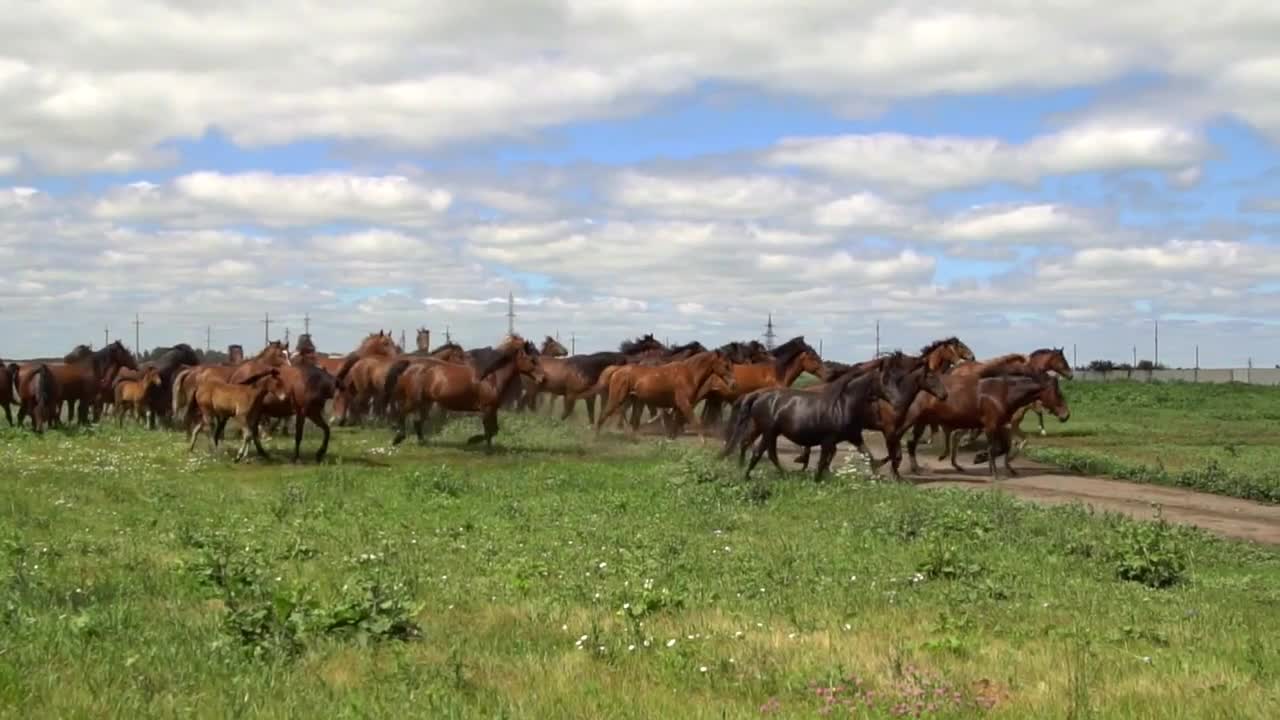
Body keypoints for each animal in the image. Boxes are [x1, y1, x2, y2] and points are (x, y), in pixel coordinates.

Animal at [378, 338, 540, 448]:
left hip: (426, 403)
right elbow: (489, 430)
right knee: (402, 413)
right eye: (532, 359)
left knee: (417, 422)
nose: (541, 378)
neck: (491, 377)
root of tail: (411, 364)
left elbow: (493, 430)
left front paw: (481, 444)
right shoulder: (487, 408)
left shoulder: (492, 408)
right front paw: (475, 442)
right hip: (414, 400)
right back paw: (398, 438)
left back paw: (422, 442)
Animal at [596, 348, 737, 438]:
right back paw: (596, 437)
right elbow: (694, 421)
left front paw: (670, 437)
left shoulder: (679, 406)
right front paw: (703, 443)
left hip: (634, 400)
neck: (689, 373)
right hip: (617, 398)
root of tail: (617, 370)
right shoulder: (684, 403)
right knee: (605, 414)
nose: (733, 384)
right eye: (726, 365)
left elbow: (676, 422)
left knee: (630, 418)